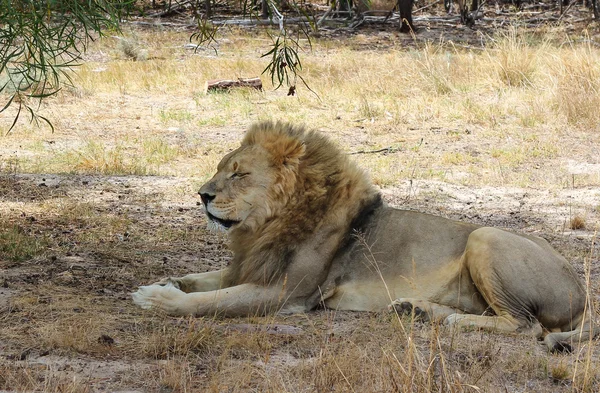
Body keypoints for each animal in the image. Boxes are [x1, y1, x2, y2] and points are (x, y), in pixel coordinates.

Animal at [131, 120, 596, 352]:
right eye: (219, 168)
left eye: (239, 174)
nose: (201, 195)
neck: (266, 225)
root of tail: (582, 293)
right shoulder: (248, 266)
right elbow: (202, 280)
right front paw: (167, 282)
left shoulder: (285, 293)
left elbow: (209, 302)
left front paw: (155, 298)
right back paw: (416, 309)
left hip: (485, 236)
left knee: (526, 326)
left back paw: (444, 319)